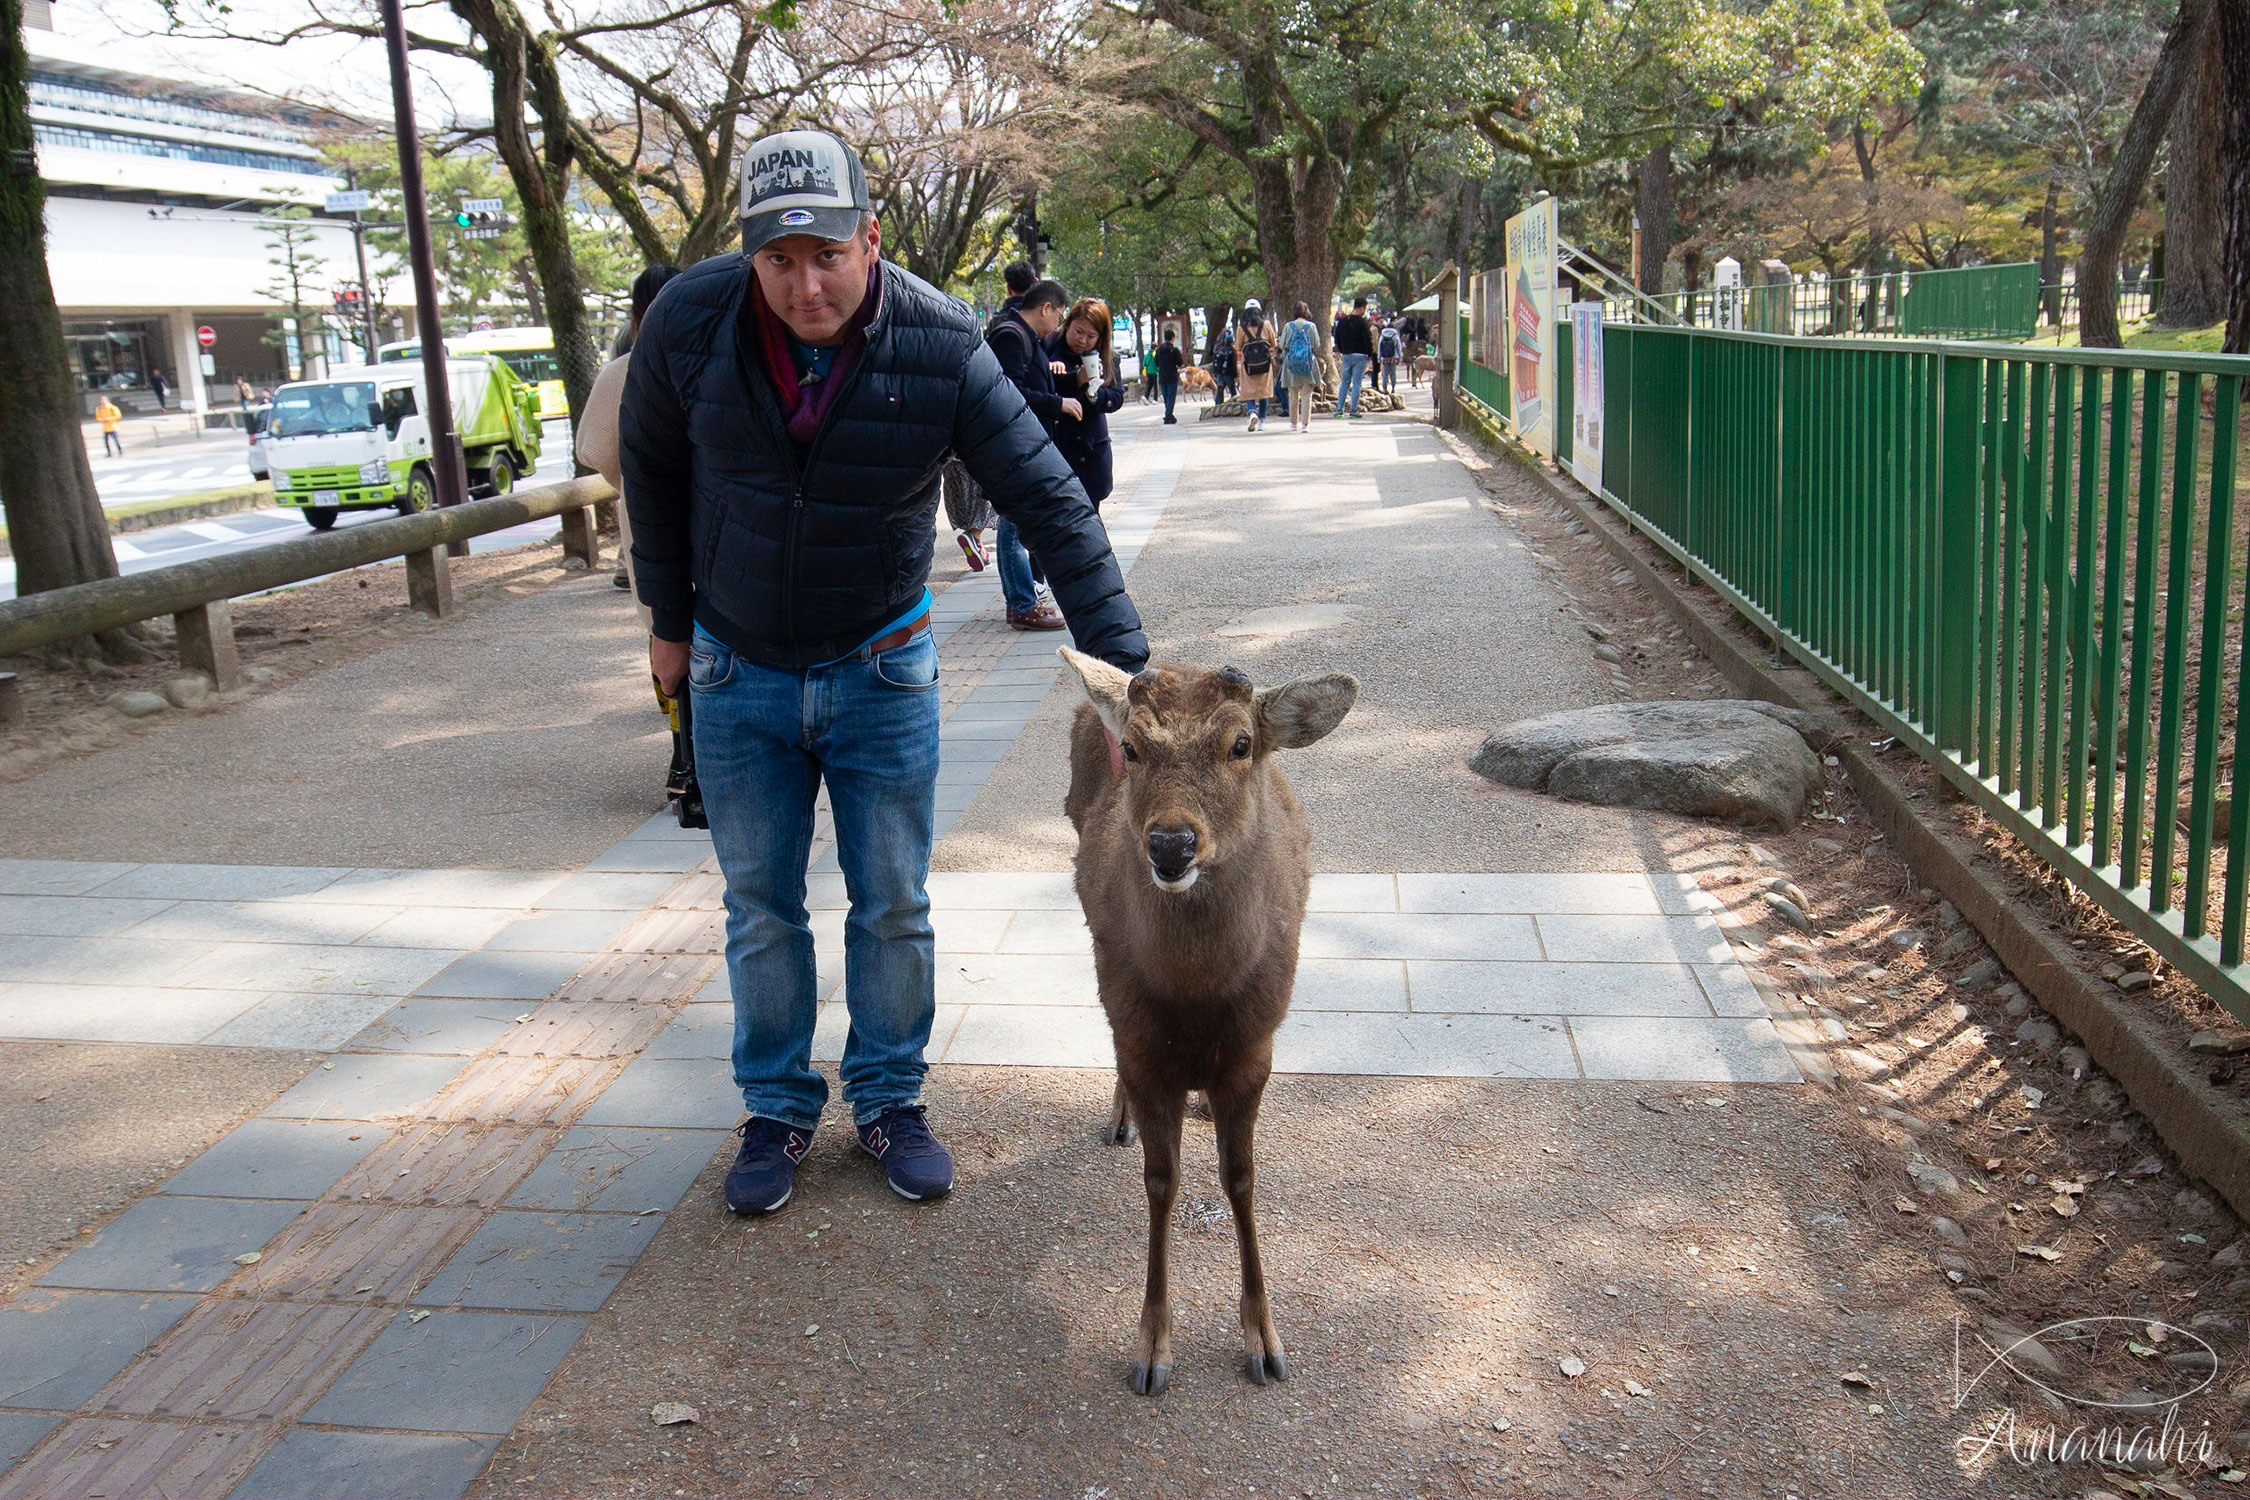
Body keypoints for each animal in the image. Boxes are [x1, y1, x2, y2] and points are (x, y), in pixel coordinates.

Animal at [1062, 652, 1359, 1403]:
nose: (1171, 843)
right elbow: (1161, 1183)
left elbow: (1242, 1179)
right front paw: (1150, 1349)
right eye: (1134, 747)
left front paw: (1266, 1343)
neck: (1196, 1003)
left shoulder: (1255, 1050)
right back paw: (1118, 1117)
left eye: (1241, 744)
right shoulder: (1142, 1046)